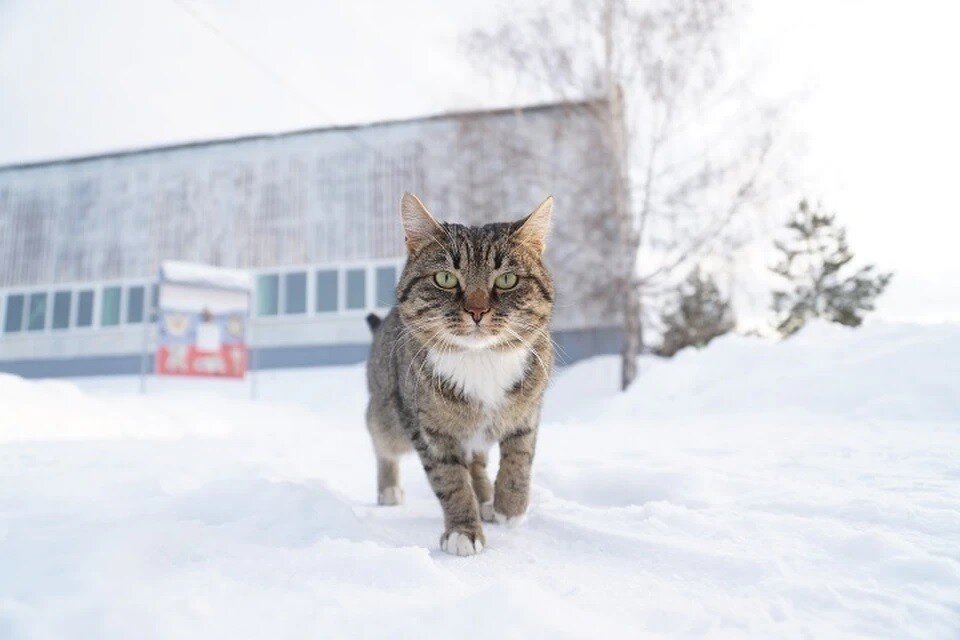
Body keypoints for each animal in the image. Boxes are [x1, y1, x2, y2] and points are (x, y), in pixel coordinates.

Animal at [364, 191, 556, 556]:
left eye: (507, 280)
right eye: (445, 279)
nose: (477, 311)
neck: (480, 359)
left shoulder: (529, 406)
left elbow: (520, 453)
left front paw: (509, 505)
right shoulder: (430, 429)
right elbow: (451, 480)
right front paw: (463, 531)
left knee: (477, 463)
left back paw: (488, 501)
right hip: (389, 415)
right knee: (382, 441)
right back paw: (388, 489)